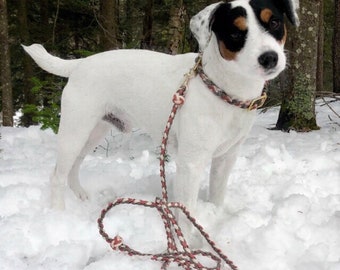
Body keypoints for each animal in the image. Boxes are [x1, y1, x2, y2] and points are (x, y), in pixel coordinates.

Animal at [23, 1, 298, 214]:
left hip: (93, 130)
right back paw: (58, 213)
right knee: (57, 175)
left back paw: (79, 195)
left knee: (73, 167)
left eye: (274, 22)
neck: (222, 89)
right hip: (75, 130)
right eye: (235, 32)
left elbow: (217, 197)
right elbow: (187, 212)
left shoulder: (226, 158)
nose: (270, 57)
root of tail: (79, 64)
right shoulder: (191, 163)